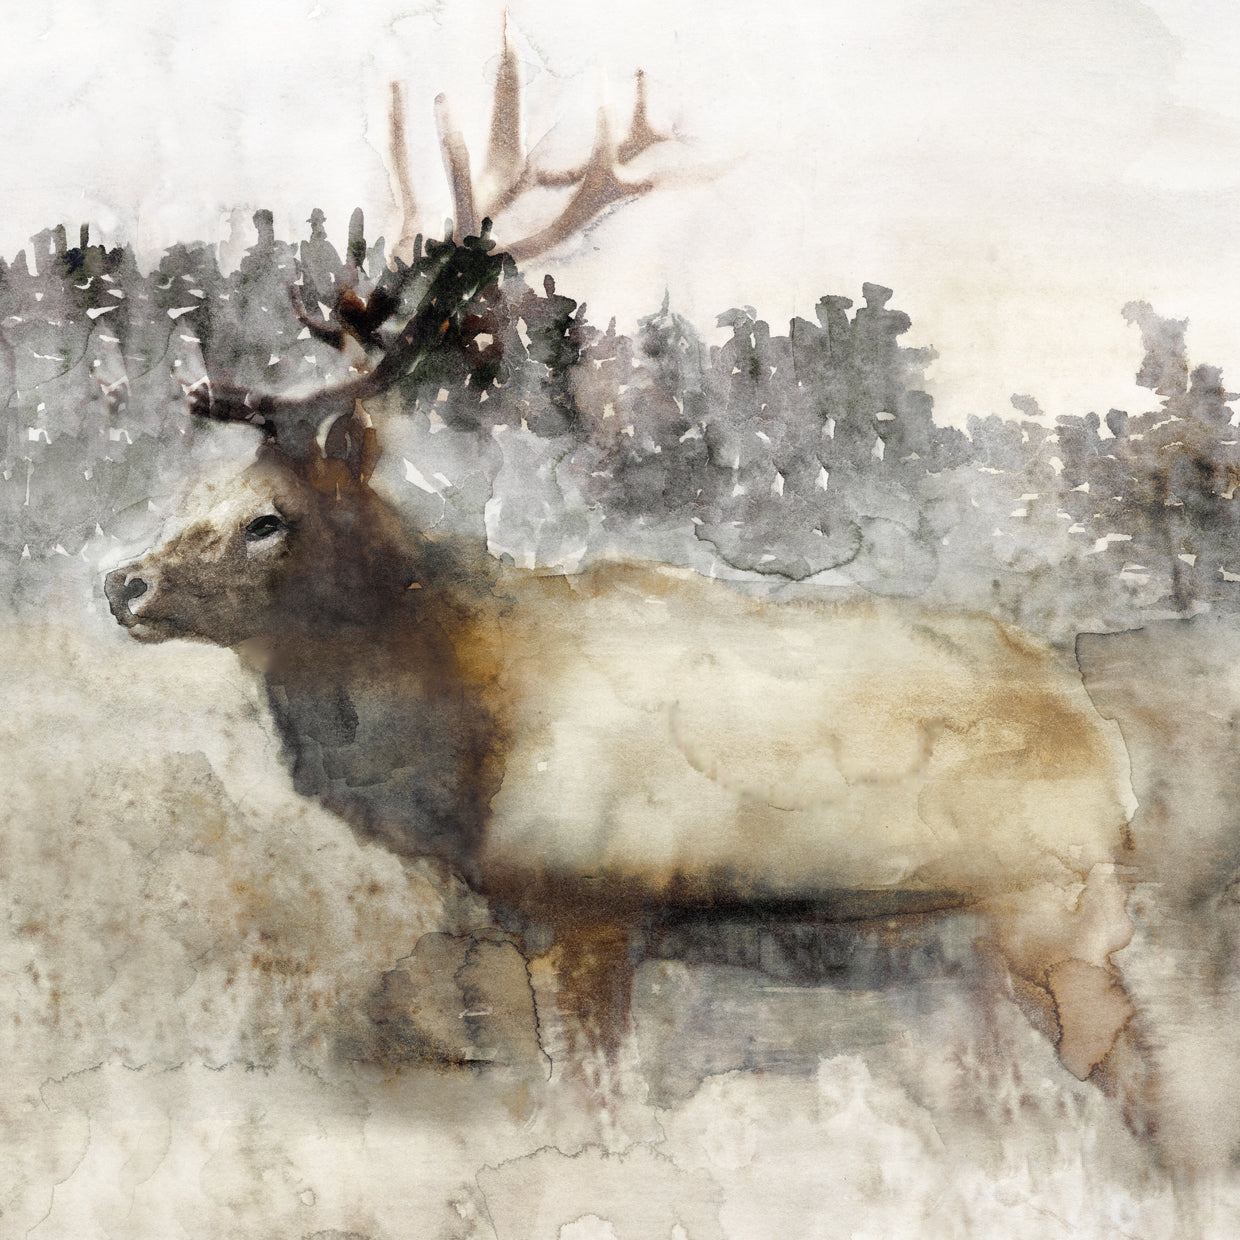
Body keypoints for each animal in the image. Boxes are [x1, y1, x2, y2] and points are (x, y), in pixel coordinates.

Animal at [103, 43, 1138, 1092]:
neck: (461, 774)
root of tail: (1110, 753)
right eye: (201, 492)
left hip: (1054, 913)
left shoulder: (589, 905)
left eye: (267, 520)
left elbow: (598, 1101)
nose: (123, 583)